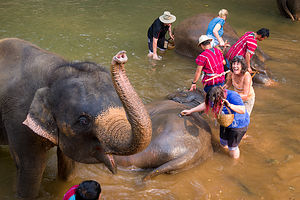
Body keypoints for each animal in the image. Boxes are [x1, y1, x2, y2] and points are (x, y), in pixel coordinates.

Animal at [0, 37, 213, 198]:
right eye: (83, 121)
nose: (121, 56)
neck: (54, 71)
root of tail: (193, 152)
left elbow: (68, 167)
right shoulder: (18, 118)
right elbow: (31, 169)